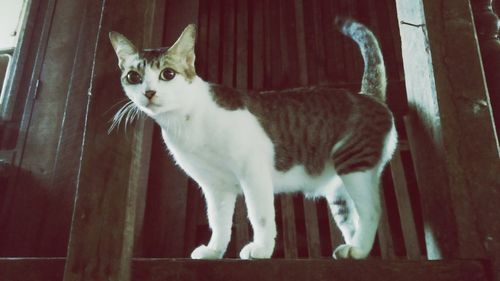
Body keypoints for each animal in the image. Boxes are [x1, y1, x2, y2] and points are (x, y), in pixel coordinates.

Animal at [110, 17, 398, 258]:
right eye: (133, 76)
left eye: (167, 74)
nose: (148, 92)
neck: (186, 121)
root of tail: (368, 96)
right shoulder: (215, 186)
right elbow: (218, 221)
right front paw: (214, 251)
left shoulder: (253, 172)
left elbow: (259, 214)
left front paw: (261, 249)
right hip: (339, 191)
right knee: (352, 218)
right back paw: (354, 249)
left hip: (355, 163)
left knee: (372, 211)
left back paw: (358, 250)